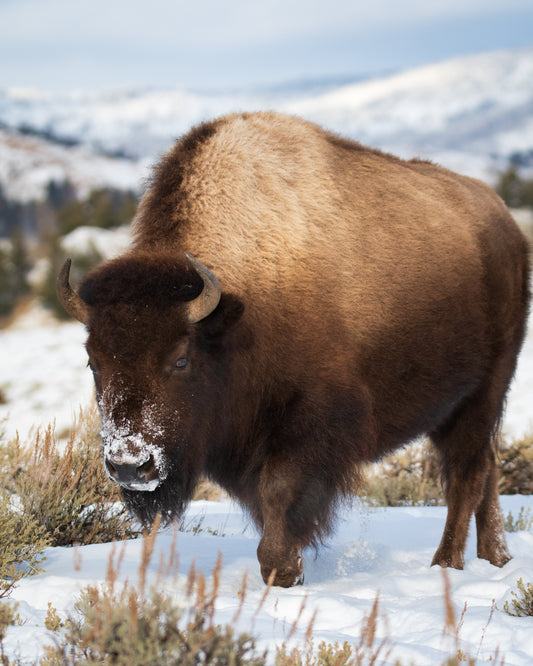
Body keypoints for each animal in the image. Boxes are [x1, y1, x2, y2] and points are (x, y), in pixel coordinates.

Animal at [58, 111, 530, 587]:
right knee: (486, 469)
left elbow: (281, 492)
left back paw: (446, 564)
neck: (238, 307)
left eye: (180, 358)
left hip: (485, 390)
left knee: (467, 475)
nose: (129, 466)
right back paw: (495, 558)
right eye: (93, 362)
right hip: (455, 408)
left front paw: (283, 570)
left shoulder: (310, 424)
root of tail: (505, 225)